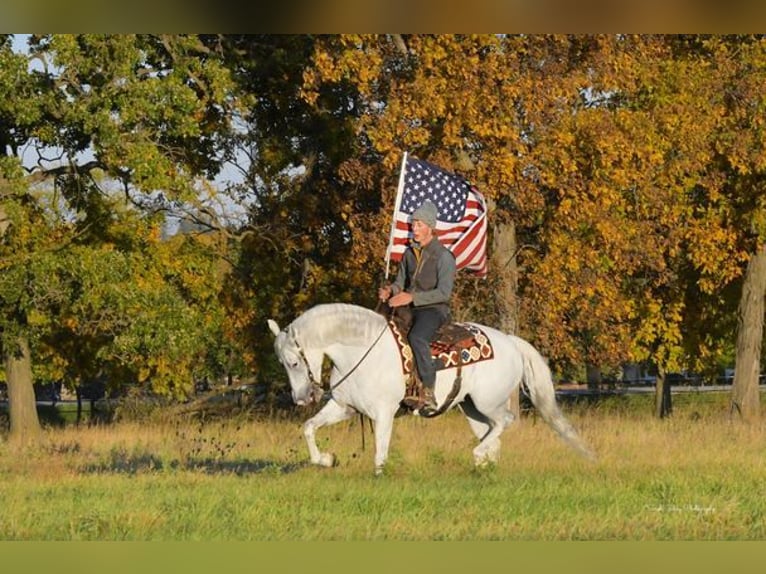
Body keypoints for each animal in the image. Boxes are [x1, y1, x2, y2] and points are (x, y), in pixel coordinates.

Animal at [268, 304, 596, 474]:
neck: (362, 351)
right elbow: (309, 428)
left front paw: (379, 476)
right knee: (492, 434)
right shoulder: (343, 407)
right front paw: (326, 459)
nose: (301, 398)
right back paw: (484, 467)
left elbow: (380, 452)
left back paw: (478, 455)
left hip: (488, 401)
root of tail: (510, 341)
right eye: (281, 363)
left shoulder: (383, 413)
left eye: (293, 362)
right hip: (472, 409)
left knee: (506, 422)